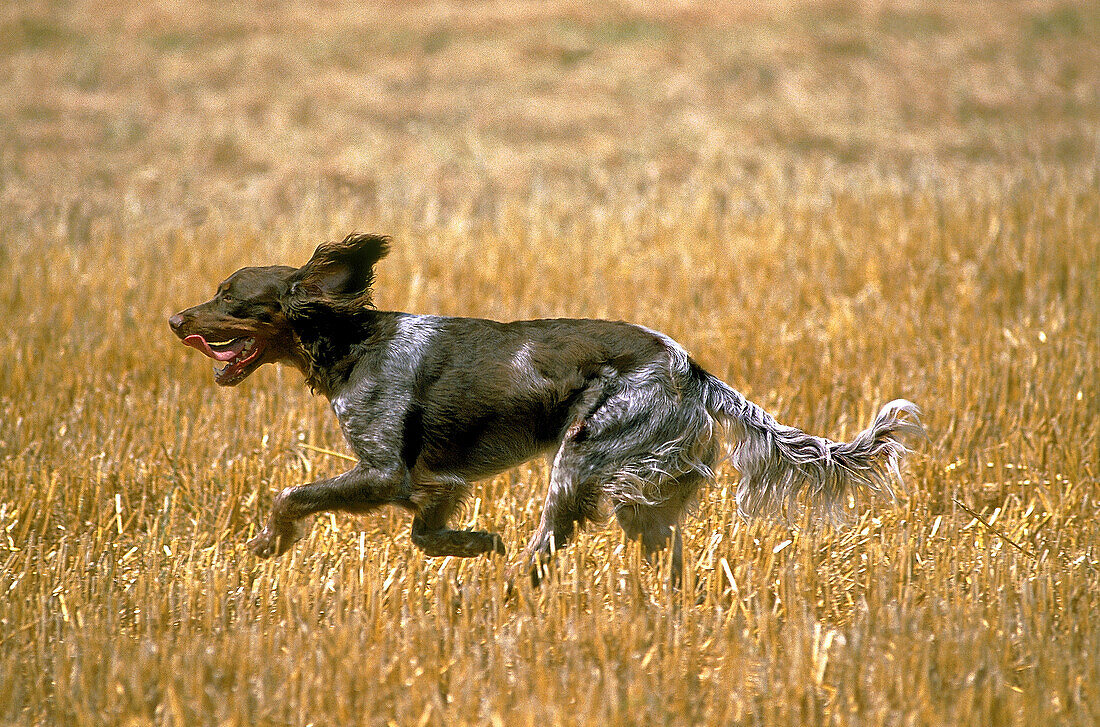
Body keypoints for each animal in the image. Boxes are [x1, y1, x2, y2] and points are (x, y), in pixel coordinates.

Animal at [169, 232, 928, 585]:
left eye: (231, 296)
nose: (176, 319)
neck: (353, 344)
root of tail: (689, 367)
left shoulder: (384, 471)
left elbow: (292, 495)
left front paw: (266, 543)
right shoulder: (433, 482)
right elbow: (424, 529)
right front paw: (473, 542)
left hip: (582, 457)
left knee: (547, 547)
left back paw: (511, 591)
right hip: (643, 492)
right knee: (665, 554)